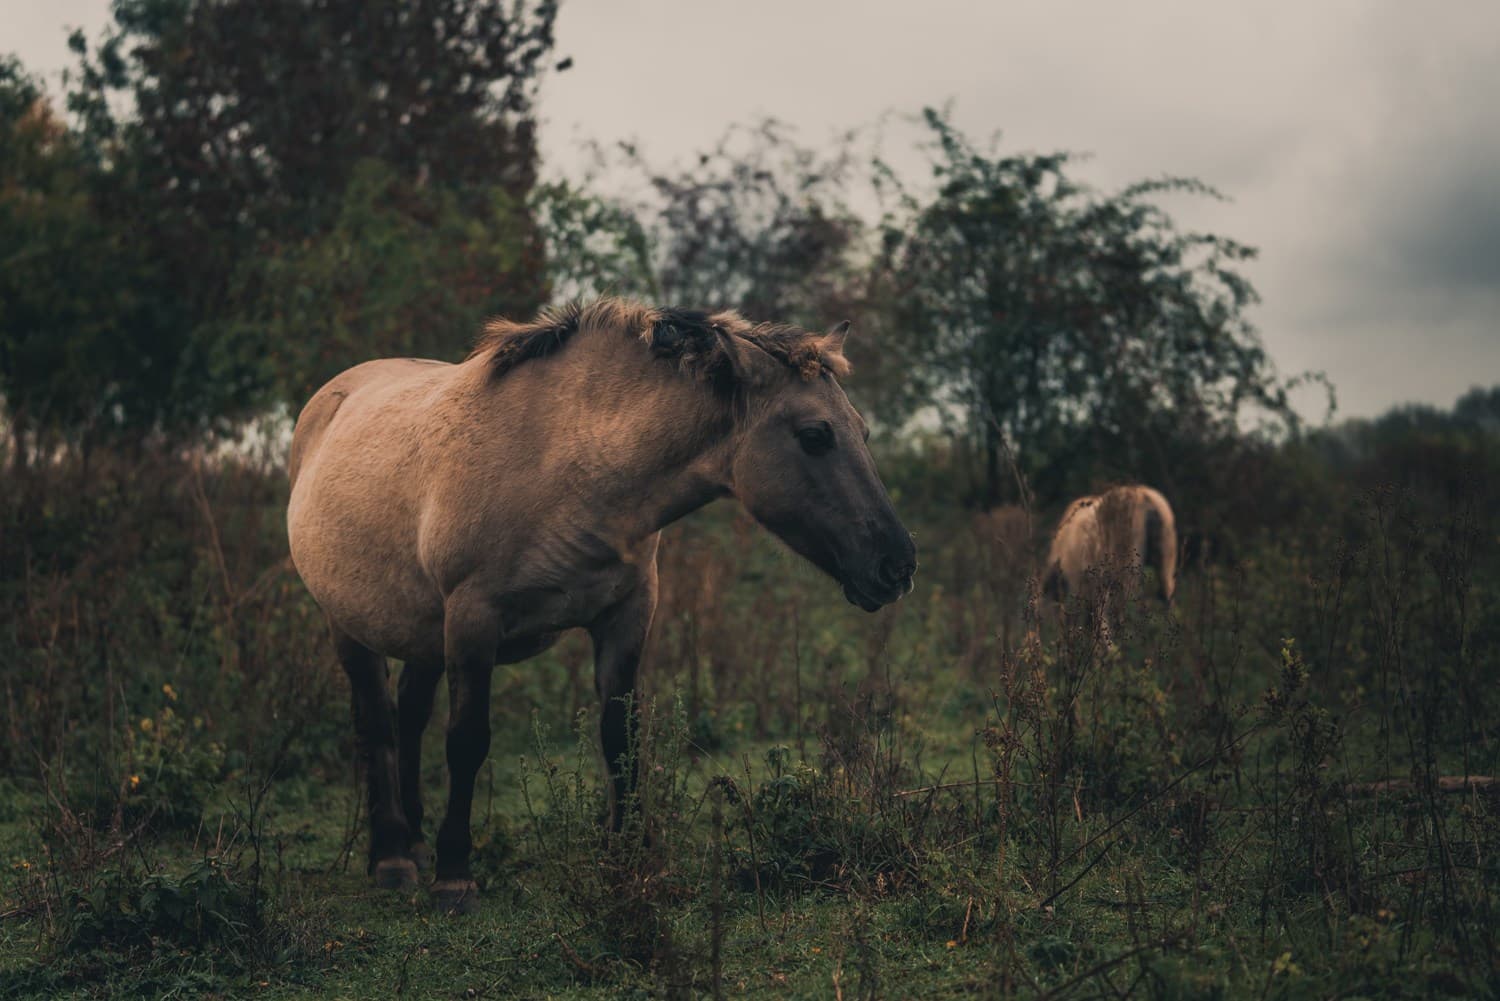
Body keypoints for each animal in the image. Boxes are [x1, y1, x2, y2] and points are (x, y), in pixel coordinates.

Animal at [286, 299, 917, 913]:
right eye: (815, 435)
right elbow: (467, 742)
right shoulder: (471, 623)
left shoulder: (626, 618)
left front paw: (631, 861)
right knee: (376, 725)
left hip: (422, 635)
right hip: (350, 626)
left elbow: (621, 738)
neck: (568, 464)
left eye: (862, 431)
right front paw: (455, 878)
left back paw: (415, 845)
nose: (898, 565)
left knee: (409, 716)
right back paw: (392, 858)